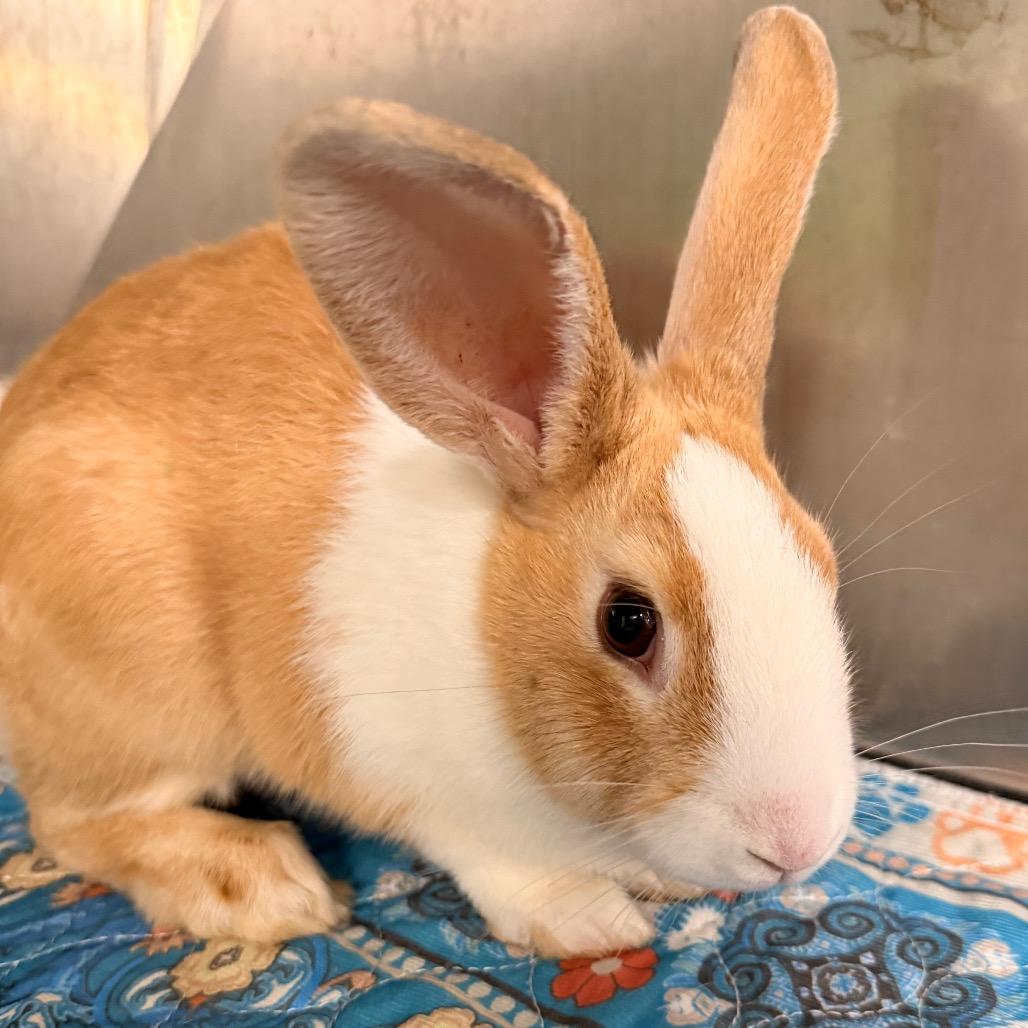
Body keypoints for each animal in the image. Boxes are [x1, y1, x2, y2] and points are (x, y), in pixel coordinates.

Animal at [0, 6, 855, 957]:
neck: (488, 632)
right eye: (628, 622)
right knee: (72, 822)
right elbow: (496, 859)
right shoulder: (406, 769)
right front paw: (587, 921)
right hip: (138, 686)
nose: (797, 841)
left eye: (822, 560)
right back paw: (261, 887)